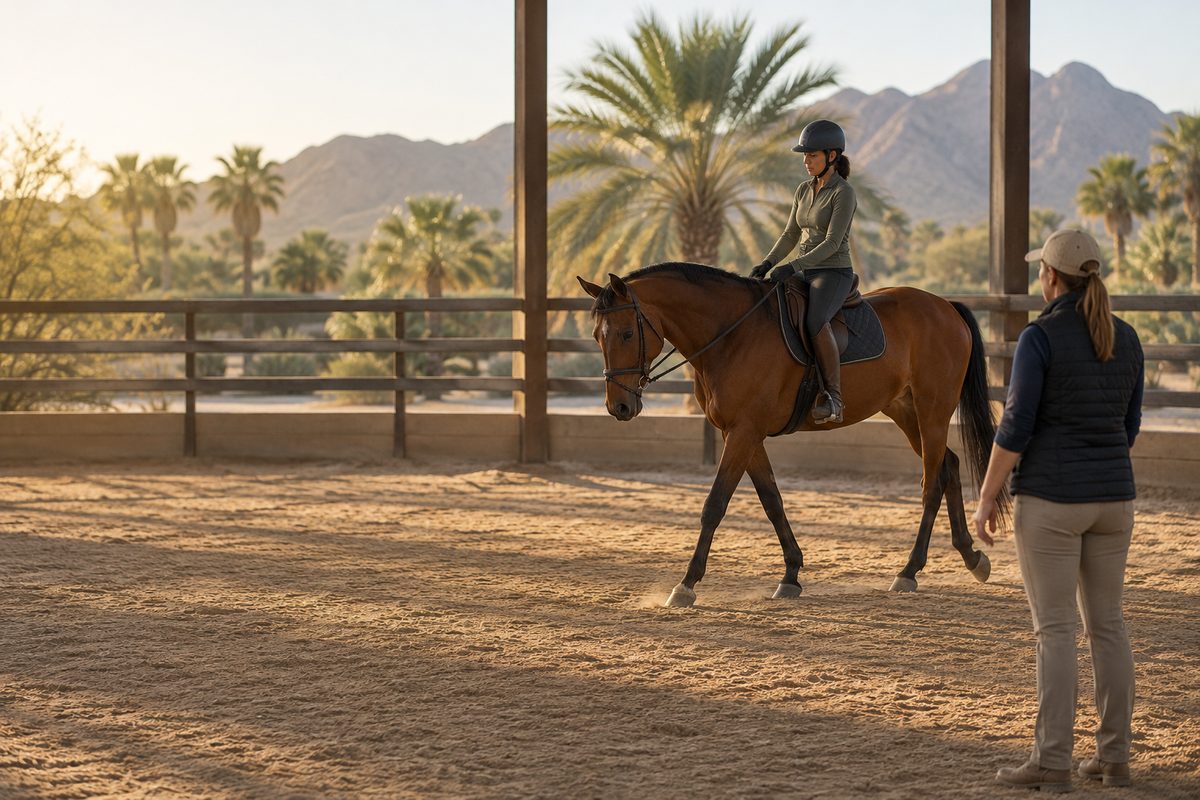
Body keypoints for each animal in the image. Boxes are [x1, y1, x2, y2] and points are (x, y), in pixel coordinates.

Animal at [578, 262, 1007, 608]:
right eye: (598, 337)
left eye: (626, 334)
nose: (619, 407)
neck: (731, 335)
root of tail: (945, 306)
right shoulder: (743, 434)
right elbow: (772, 501)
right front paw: (791, 576)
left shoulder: (744, 432)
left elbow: (715, 505)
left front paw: (686, 585)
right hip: (905, 411)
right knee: (948, 465)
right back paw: (972, 558)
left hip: (933, 410)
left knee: (932, 483)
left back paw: (909, 571)